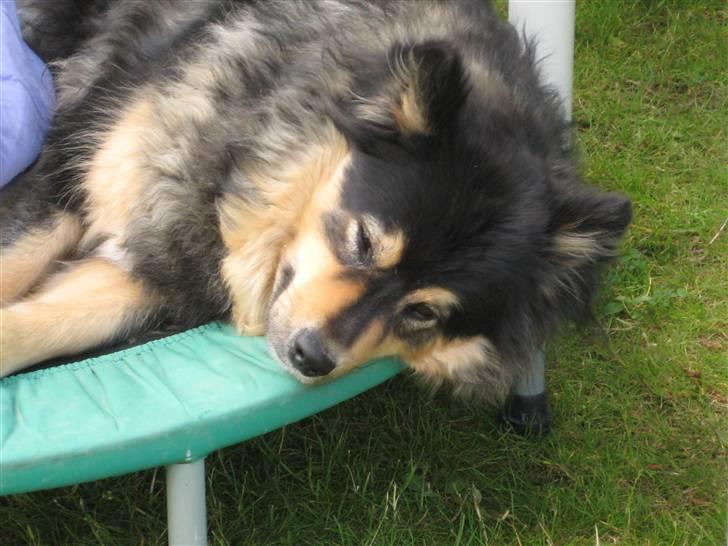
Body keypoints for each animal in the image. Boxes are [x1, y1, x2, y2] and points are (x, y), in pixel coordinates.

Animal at [0, 0, 628, 400]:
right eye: (363, 240)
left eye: (424, 312)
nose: (312, 356)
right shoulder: (67, 174)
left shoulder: (154, 262)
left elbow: (40, 324)